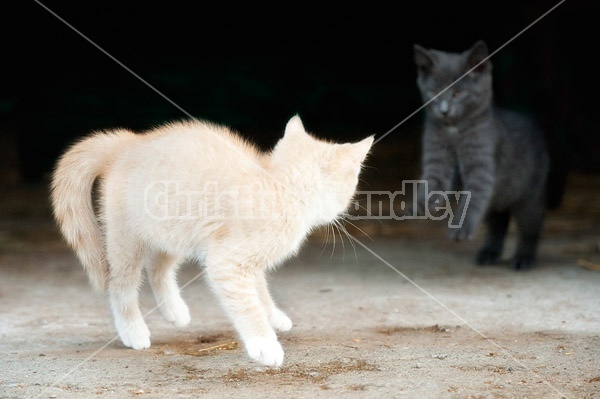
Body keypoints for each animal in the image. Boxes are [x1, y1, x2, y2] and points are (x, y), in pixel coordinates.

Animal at [49, 114, 372, 368]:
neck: (279, 185)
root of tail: (128, 143)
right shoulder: (226, 261)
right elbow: (247, 304)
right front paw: (264, 343)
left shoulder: (247, 261)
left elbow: (260, 288)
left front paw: (273, 315)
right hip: (127, 238)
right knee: (121, 284)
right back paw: (133, 330)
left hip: (176, 230)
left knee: (158, 268)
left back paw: (174, 311)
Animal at [412, 39, 548, 268]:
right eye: (435, 93)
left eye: (457, 94)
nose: (444, 110)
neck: (454, 131)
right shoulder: (436, 156)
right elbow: (432, 181)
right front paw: (420, 205)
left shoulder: (482, 167)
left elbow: (473, 198)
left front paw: (460, 230)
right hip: (497, 201)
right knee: (498, 224)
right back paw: (488, 254)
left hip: (531, 194)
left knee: (530, 228)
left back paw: (523, 259)